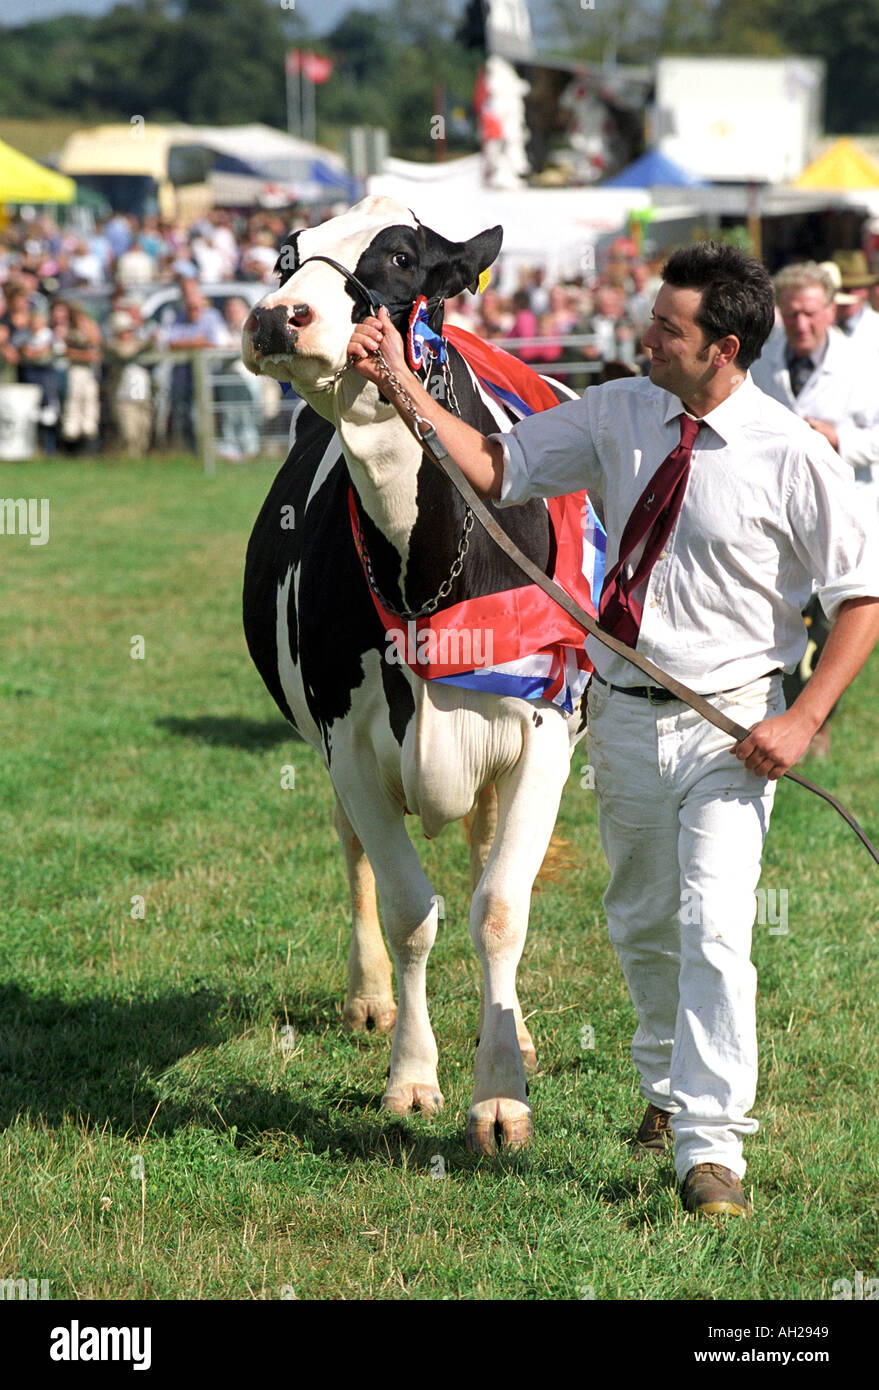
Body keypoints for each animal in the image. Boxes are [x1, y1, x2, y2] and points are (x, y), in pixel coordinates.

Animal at [240, 195, 584, 1150]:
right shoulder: (348, 745)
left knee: (483, 861)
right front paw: (412, 1078)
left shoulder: (543, 739)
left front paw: (500, 1094)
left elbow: (498, 906)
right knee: (355, 850)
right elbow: (407, 913)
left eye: (399, 257)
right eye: (285, 256)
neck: (426, 566)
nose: (277, 315)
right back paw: (368, 1001)